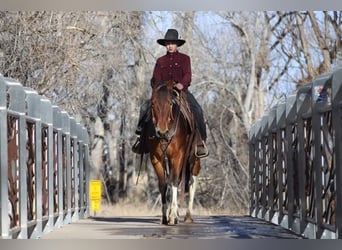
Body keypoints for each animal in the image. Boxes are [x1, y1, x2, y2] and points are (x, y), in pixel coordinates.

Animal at [145, 79, 200, 225]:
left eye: (170, 103)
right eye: (153, 103)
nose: (161, 131)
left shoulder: (178, 156)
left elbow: (175, 181)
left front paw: (173, 216)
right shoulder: (156, 158)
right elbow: (164, 184)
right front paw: (165, 215)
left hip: (194, 159)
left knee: (191, 182)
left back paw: (188, 216)